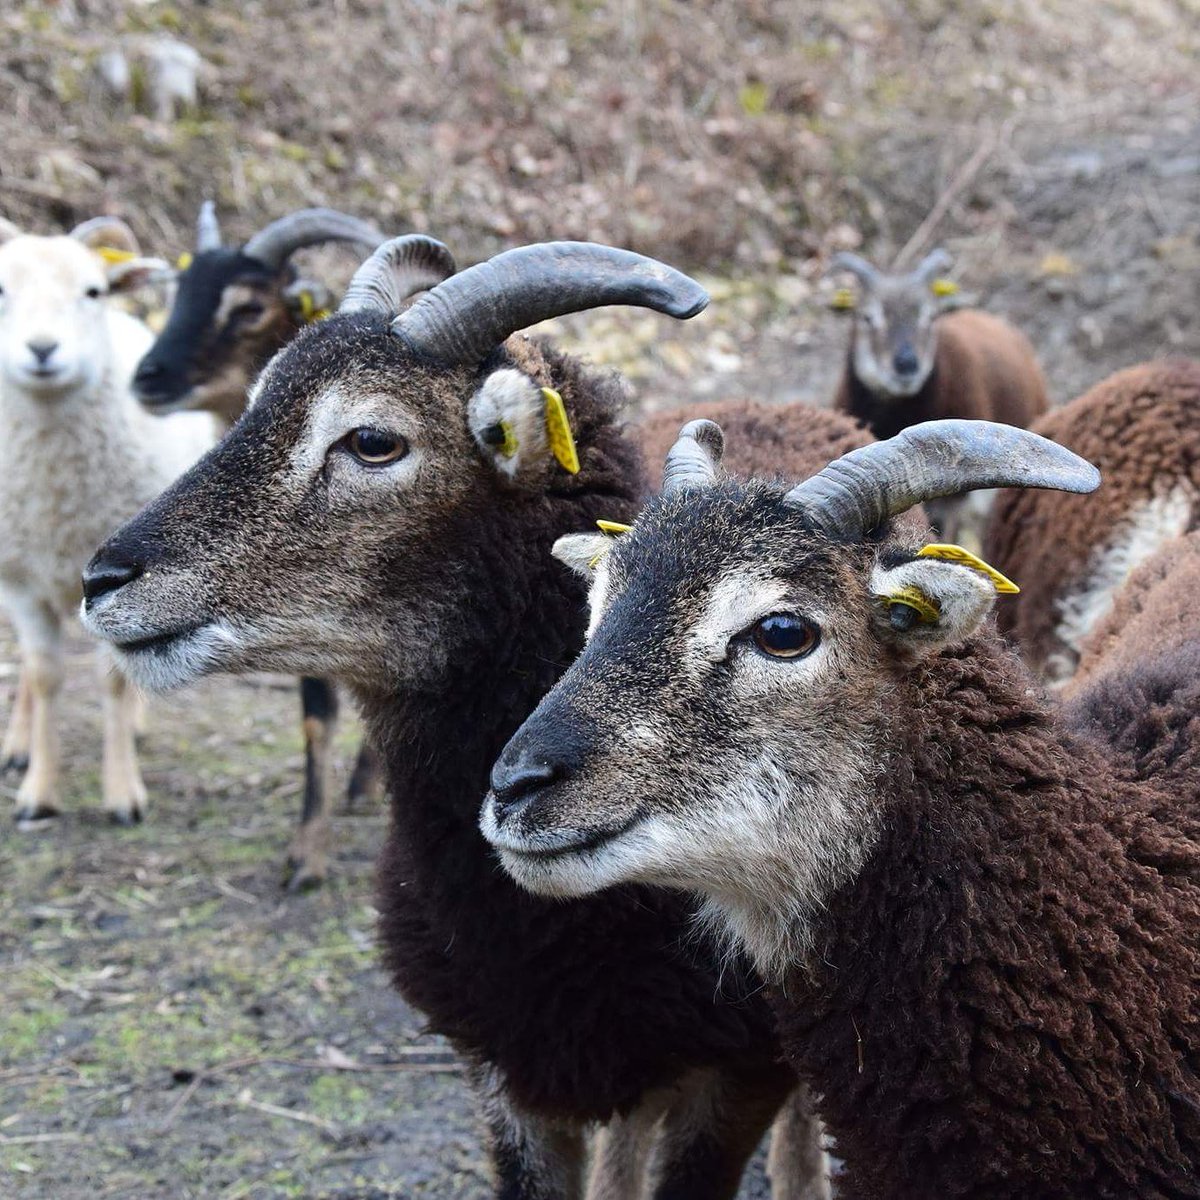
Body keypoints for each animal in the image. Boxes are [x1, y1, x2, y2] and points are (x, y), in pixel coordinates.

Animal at [0, 216, 215, 823]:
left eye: (92, 291)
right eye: (1, 292)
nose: (42, 350)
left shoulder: (119, 577)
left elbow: (111, 678)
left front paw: (122, 791)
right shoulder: (18, 581)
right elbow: (43, 673)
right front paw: (38, 792)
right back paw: (17, 745)